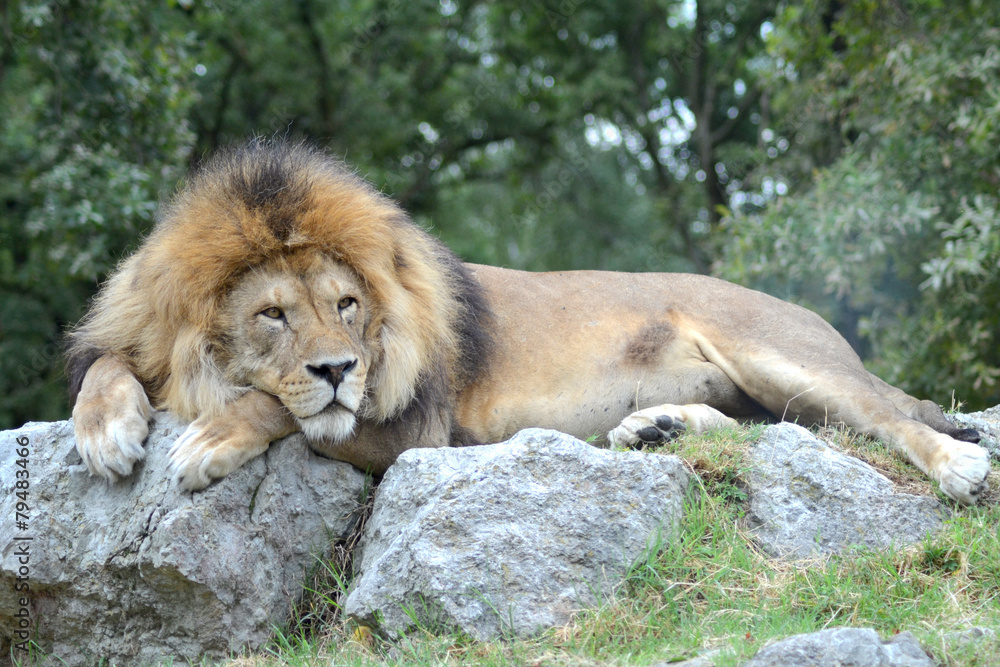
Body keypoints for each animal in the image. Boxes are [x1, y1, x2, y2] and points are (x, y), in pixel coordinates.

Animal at [67, 139, 991, 504]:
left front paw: (206, 440)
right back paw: (655, 427)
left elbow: (281, 409)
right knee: (773, 425)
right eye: (271, 314)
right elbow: (111, 362)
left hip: (779, 350)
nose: (337, 368)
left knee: (881, 417)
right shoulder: (146, 336)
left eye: (347, 306)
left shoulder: (417, 429)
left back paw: (957, 465)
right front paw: (107, 428)